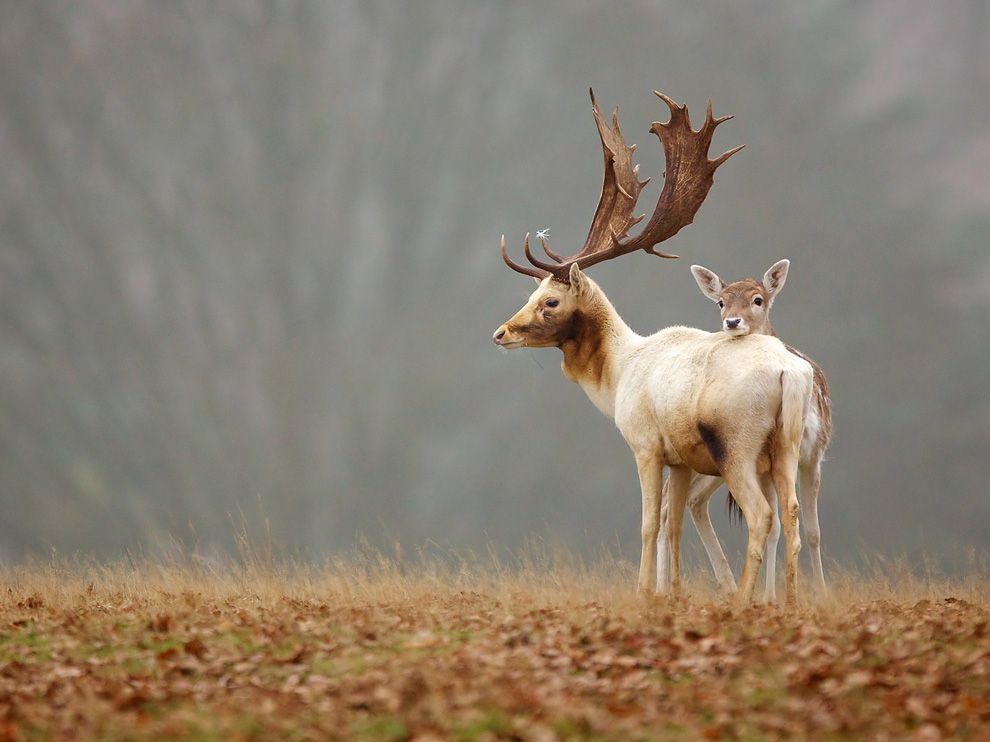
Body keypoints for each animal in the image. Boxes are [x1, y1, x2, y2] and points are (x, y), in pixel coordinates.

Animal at [656, 258, 832, 600]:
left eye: (758, 299)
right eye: (721, 301)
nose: (732, 322)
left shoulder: (814, 454)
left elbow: (813, 531)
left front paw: (815, 593)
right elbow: (781, 526)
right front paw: (771, 596)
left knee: (688, 502)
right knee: (672, 503)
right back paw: (662, 590)